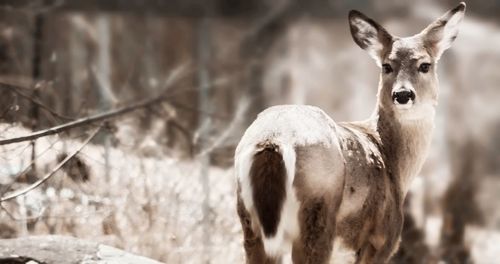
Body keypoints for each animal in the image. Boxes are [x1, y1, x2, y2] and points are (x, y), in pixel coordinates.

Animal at [234, 2, 464, 264]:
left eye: (424, 65)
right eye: (387, 66)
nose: (403, 94)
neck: (391, 158)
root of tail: (273, 140)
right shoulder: (380, 239)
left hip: (248, 217)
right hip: (317, 209)